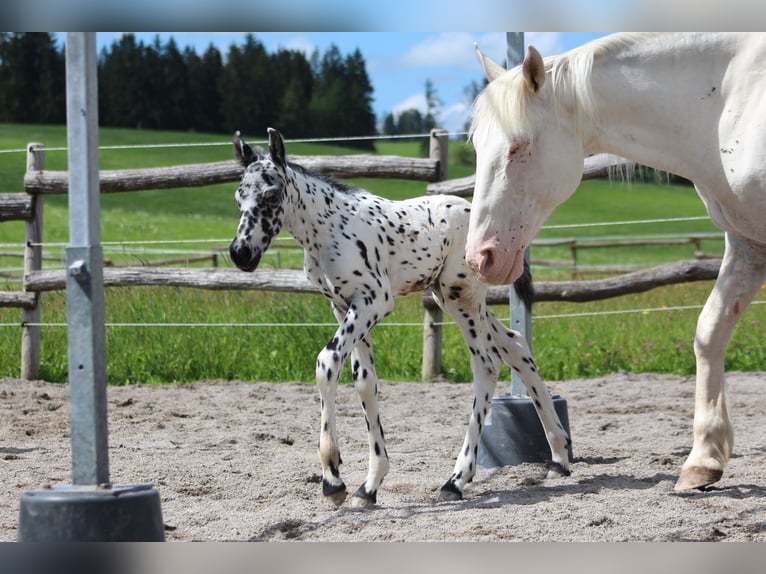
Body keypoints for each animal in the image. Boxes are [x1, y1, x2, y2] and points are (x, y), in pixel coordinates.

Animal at [228, 128, 568, 506]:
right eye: (238, 196)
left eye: (272, 194)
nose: (241, 253)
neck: (328, 228)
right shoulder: (344, 306)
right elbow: (365, 382)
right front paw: (369, 485)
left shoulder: (374, 301)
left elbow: (327, 362)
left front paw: (333, 477)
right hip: (454, 298)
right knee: (516, 345)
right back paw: (559, 457)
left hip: (460, 298)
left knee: (487, 365)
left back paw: (456, 479)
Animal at [464, 31, 766, 492]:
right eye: (478, 148)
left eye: (519, 146)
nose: (481, 257)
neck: (730, 98)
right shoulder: (747, 244)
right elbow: (709, 333)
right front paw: (703, 461)